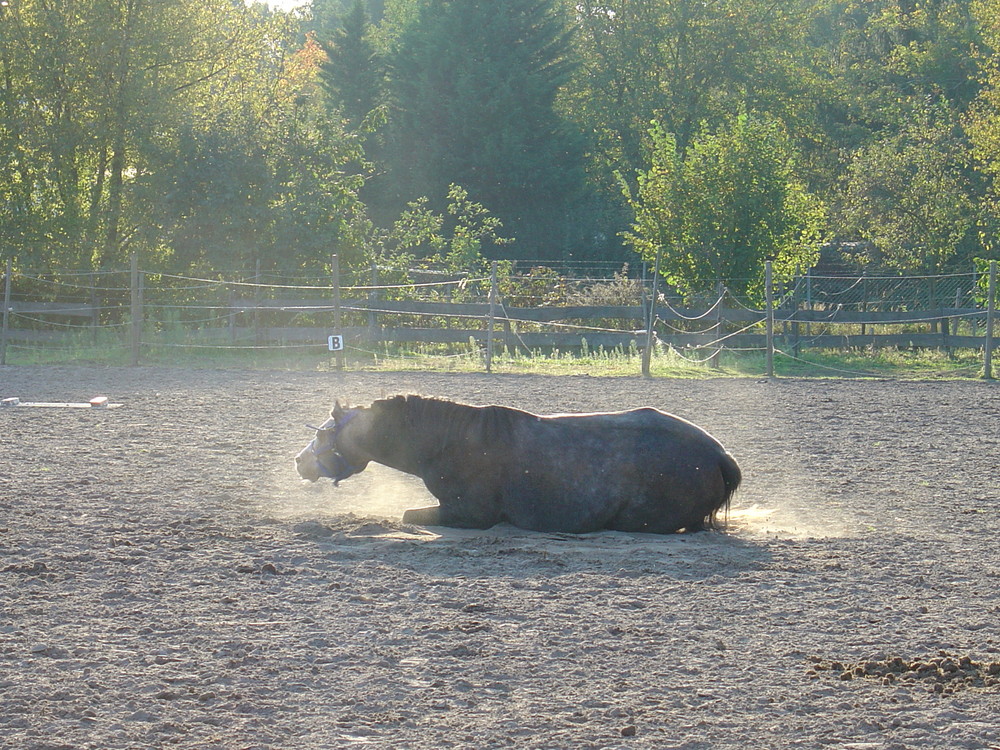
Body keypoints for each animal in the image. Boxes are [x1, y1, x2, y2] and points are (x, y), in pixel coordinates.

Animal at [292, 394, 740, 536]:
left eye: (323, 433)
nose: (299, 461)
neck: (451, 439)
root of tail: (719, 456)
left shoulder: (468, 515)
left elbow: (407, 515)